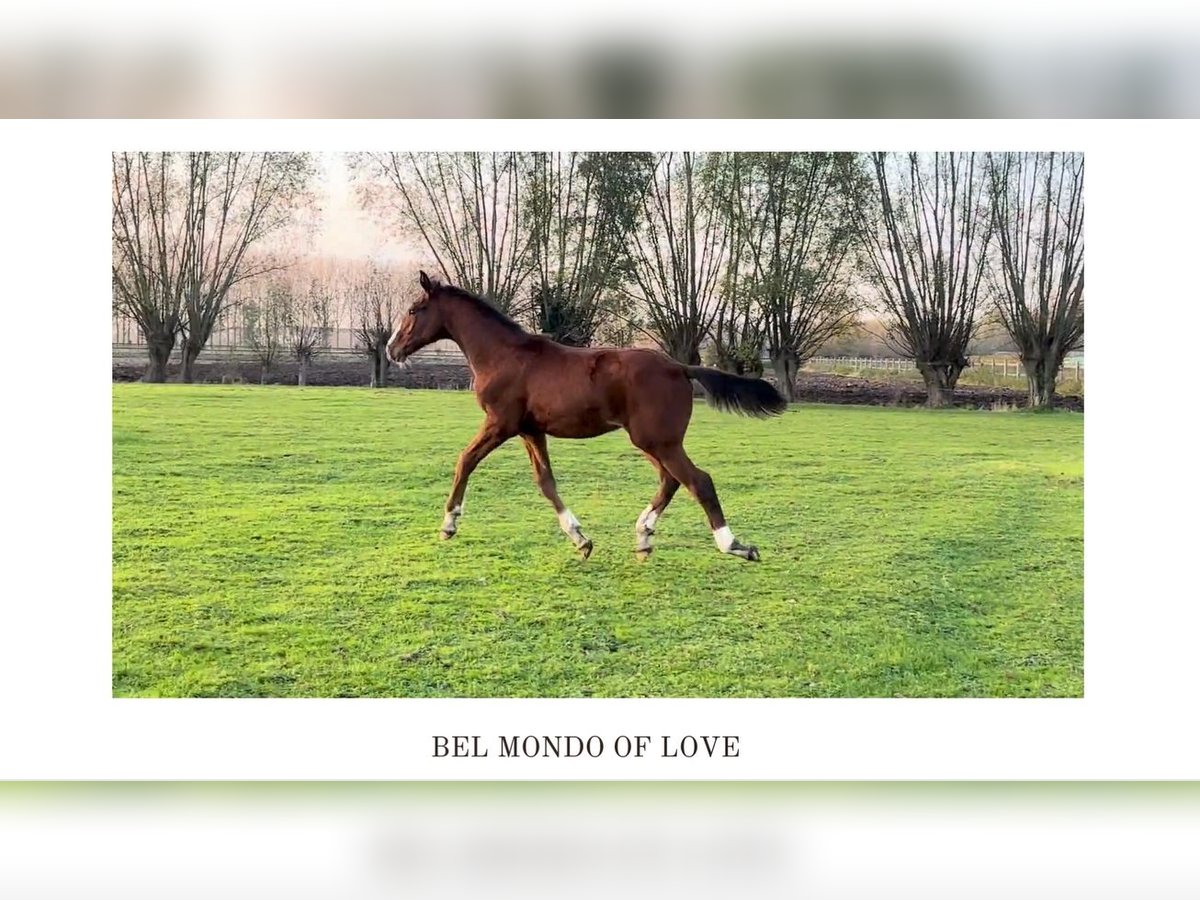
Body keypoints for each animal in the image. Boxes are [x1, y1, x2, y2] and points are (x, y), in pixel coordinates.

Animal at [388, 271, 792, 564]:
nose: (393, 349)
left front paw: (448, 524)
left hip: (658, 440)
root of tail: (680, 367)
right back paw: (644, 537)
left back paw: (735, 545)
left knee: (698, 480)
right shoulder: (530, 430)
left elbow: (465, 460)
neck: (504, 355)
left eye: (412, 310)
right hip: (650, 441)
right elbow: (546, 482)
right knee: (671, 480)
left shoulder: (500, 423)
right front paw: (581, 540)